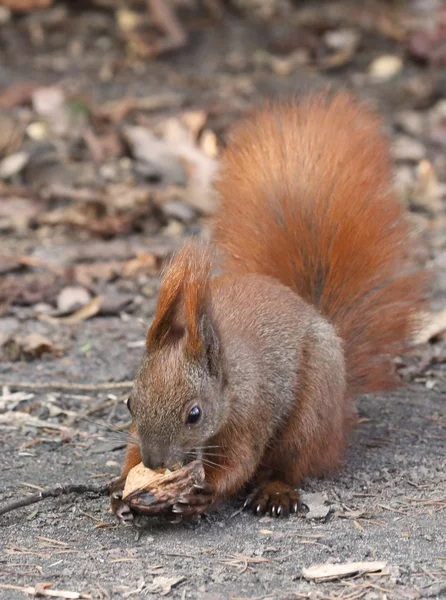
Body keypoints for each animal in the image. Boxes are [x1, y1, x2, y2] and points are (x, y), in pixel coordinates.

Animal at [110, 91, 426, 524]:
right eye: (129, 403)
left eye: (195, 414)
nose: (155, 462)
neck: (228, 377)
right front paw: (121, 486)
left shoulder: (250, 416)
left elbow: (240, 464)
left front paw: (203, 493)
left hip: (309, 413)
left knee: (289, 463)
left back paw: (274, 492)